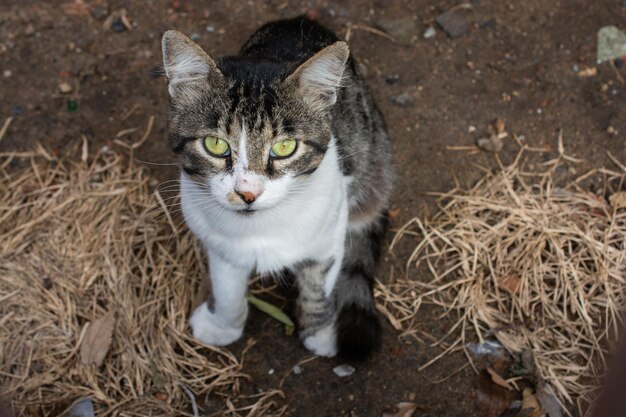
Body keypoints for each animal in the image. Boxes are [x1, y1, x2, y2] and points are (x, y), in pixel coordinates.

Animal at [162, 16, 394, 360]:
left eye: (284, 147)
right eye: (215, 144)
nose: (247, 192)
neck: (259, 227)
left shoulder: (330, 232)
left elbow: (319, 283)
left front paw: (321, 332)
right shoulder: (218, 242)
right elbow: (227, 289)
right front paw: (223, 326)